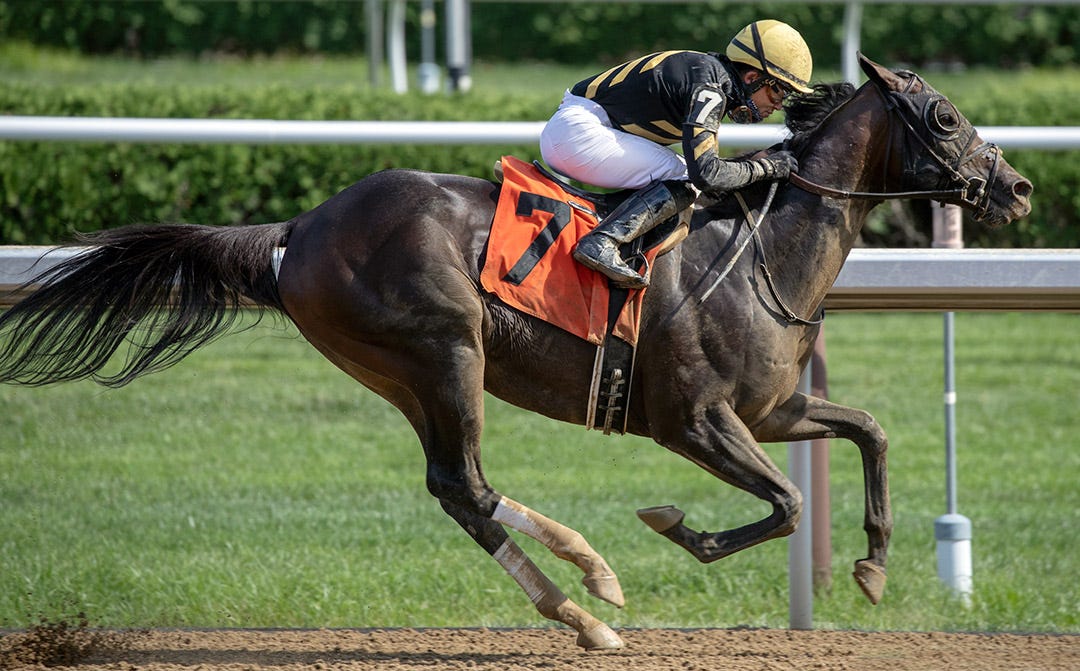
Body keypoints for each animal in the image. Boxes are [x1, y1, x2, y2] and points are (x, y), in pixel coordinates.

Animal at [0, 54, 1031, 649]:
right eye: (945, 118)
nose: (1017, 187)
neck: (763, 249)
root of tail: (303, 226)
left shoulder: (772, 408)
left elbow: (870, 431)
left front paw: (873, 564)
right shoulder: (694, 420)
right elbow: (781, 503)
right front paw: (677, 527)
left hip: (404, 371)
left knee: (457, 488)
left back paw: (583, 606)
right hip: (443, 351)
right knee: (467, 482)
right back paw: (592, 588)